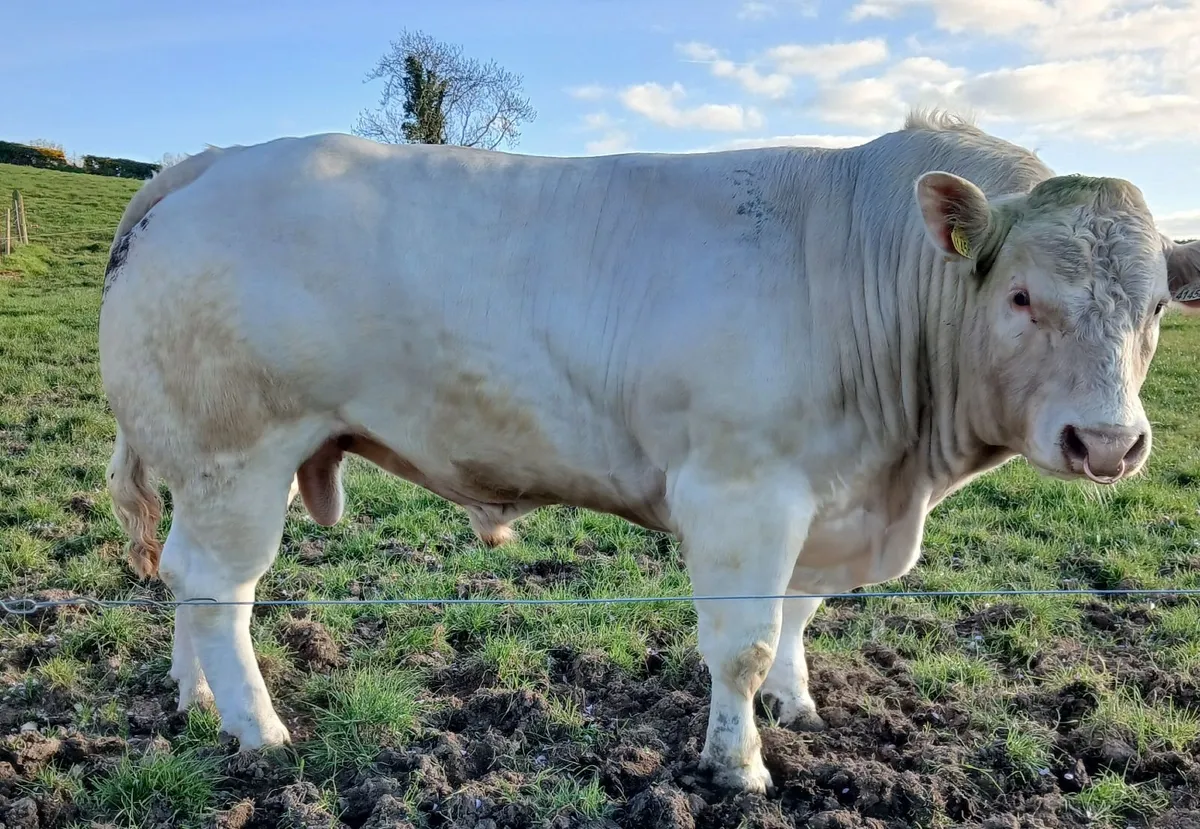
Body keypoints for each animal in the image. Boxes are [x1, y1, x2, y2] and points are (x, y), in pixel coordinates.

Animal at [99, 110, 1200, 794]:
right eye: (1021, 295)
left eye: (1156, 307)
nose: (1107, 441)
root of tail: (215, 159)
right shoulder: (743, 490)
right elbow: (743, 639)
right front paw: (740, 765)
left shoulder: (826, 497)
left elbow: (797, 616)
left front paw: (798, 703)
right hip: (239, 454)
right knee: (220, 589)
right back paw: (256, 728)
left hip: (215, 466)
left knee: (188, 580)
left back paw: (195, 701)